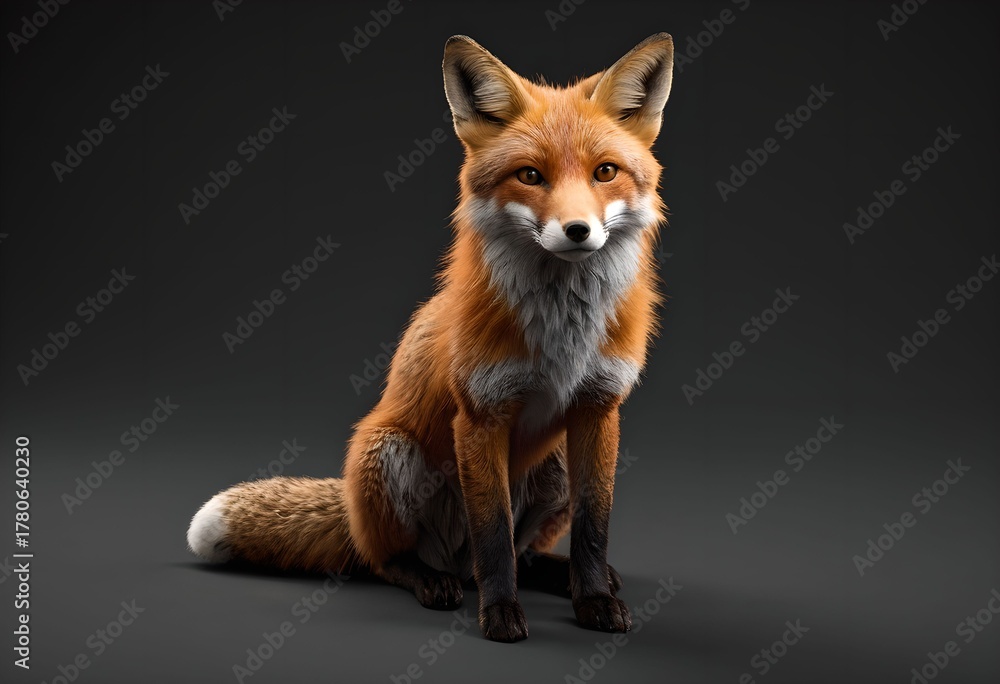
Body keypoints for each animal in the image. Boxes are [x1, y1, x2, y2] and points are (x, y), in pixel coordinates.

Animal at [187, 32, 674, 643]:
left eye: (605, 172)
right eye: (530, 176)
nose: (578, 231)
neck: (563, 334)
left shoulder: (598, 408)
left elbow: (593, 526)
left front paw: (593, 600)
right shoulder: (481, 413)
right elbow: (492, 535)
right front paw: (500, 613)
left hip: (556, 461)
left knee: (525, 553)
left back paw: (565, 574)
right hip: (390, 453)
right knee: (394, 561)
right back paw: (432, 581)